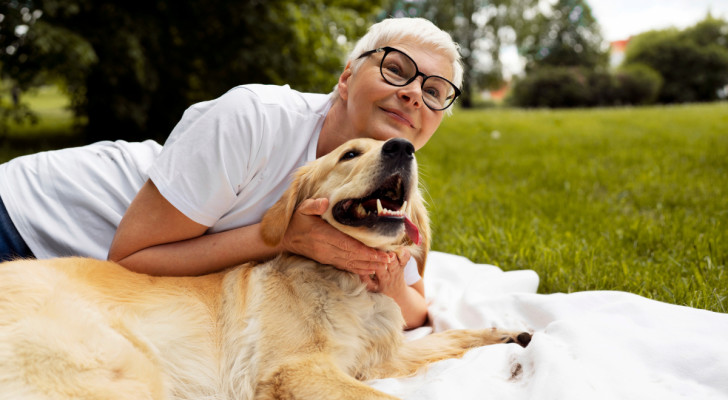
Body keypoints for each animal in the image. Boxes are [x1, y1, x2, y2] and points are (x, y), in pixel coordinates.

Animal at [0, 137, 528, 396]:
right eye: (349, 154)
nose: (403, 147)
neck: (348, 284)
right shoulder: (297, 369)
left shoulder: (381, 360)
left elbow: (446, 339)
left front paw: (505, 334)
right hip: (126, 369)